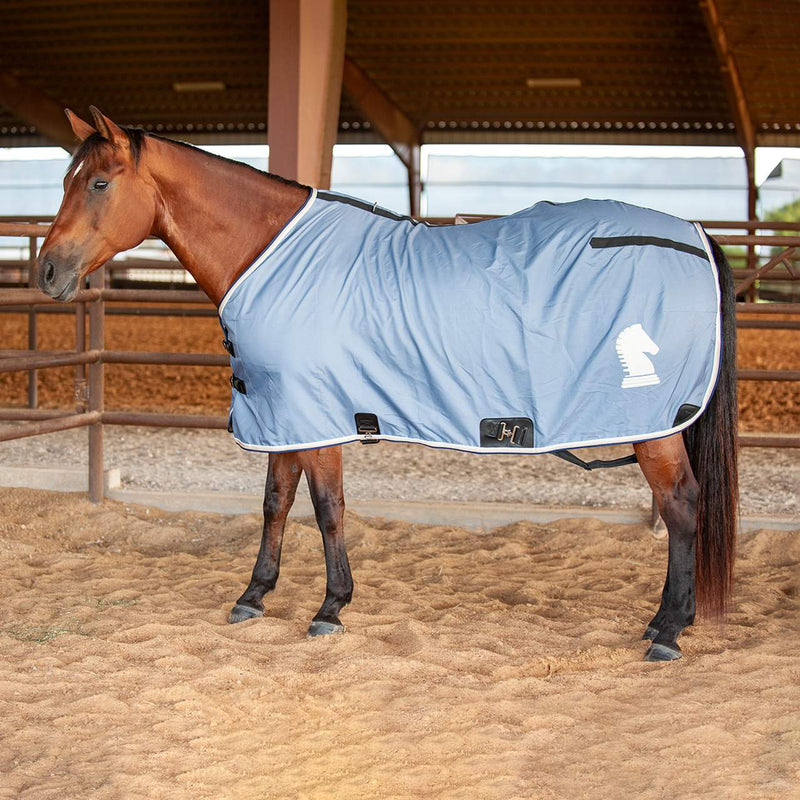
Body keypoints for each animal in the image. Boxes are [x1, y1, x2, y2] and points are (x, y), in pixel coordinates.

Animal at [36, 107, 738, 662]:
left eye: (98, 182)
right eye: (66, 179)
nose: (47, 272)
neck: (270, 255)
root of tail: (695, 235)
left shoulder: (318, 416)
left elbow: (327, 509)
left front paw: (330, 608)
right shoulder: (284, 414)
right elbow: (275, 504)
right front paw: (254, 596)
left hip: (655, 426)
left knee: (681, 506)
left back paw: (668, 630)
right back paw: (663, 621)